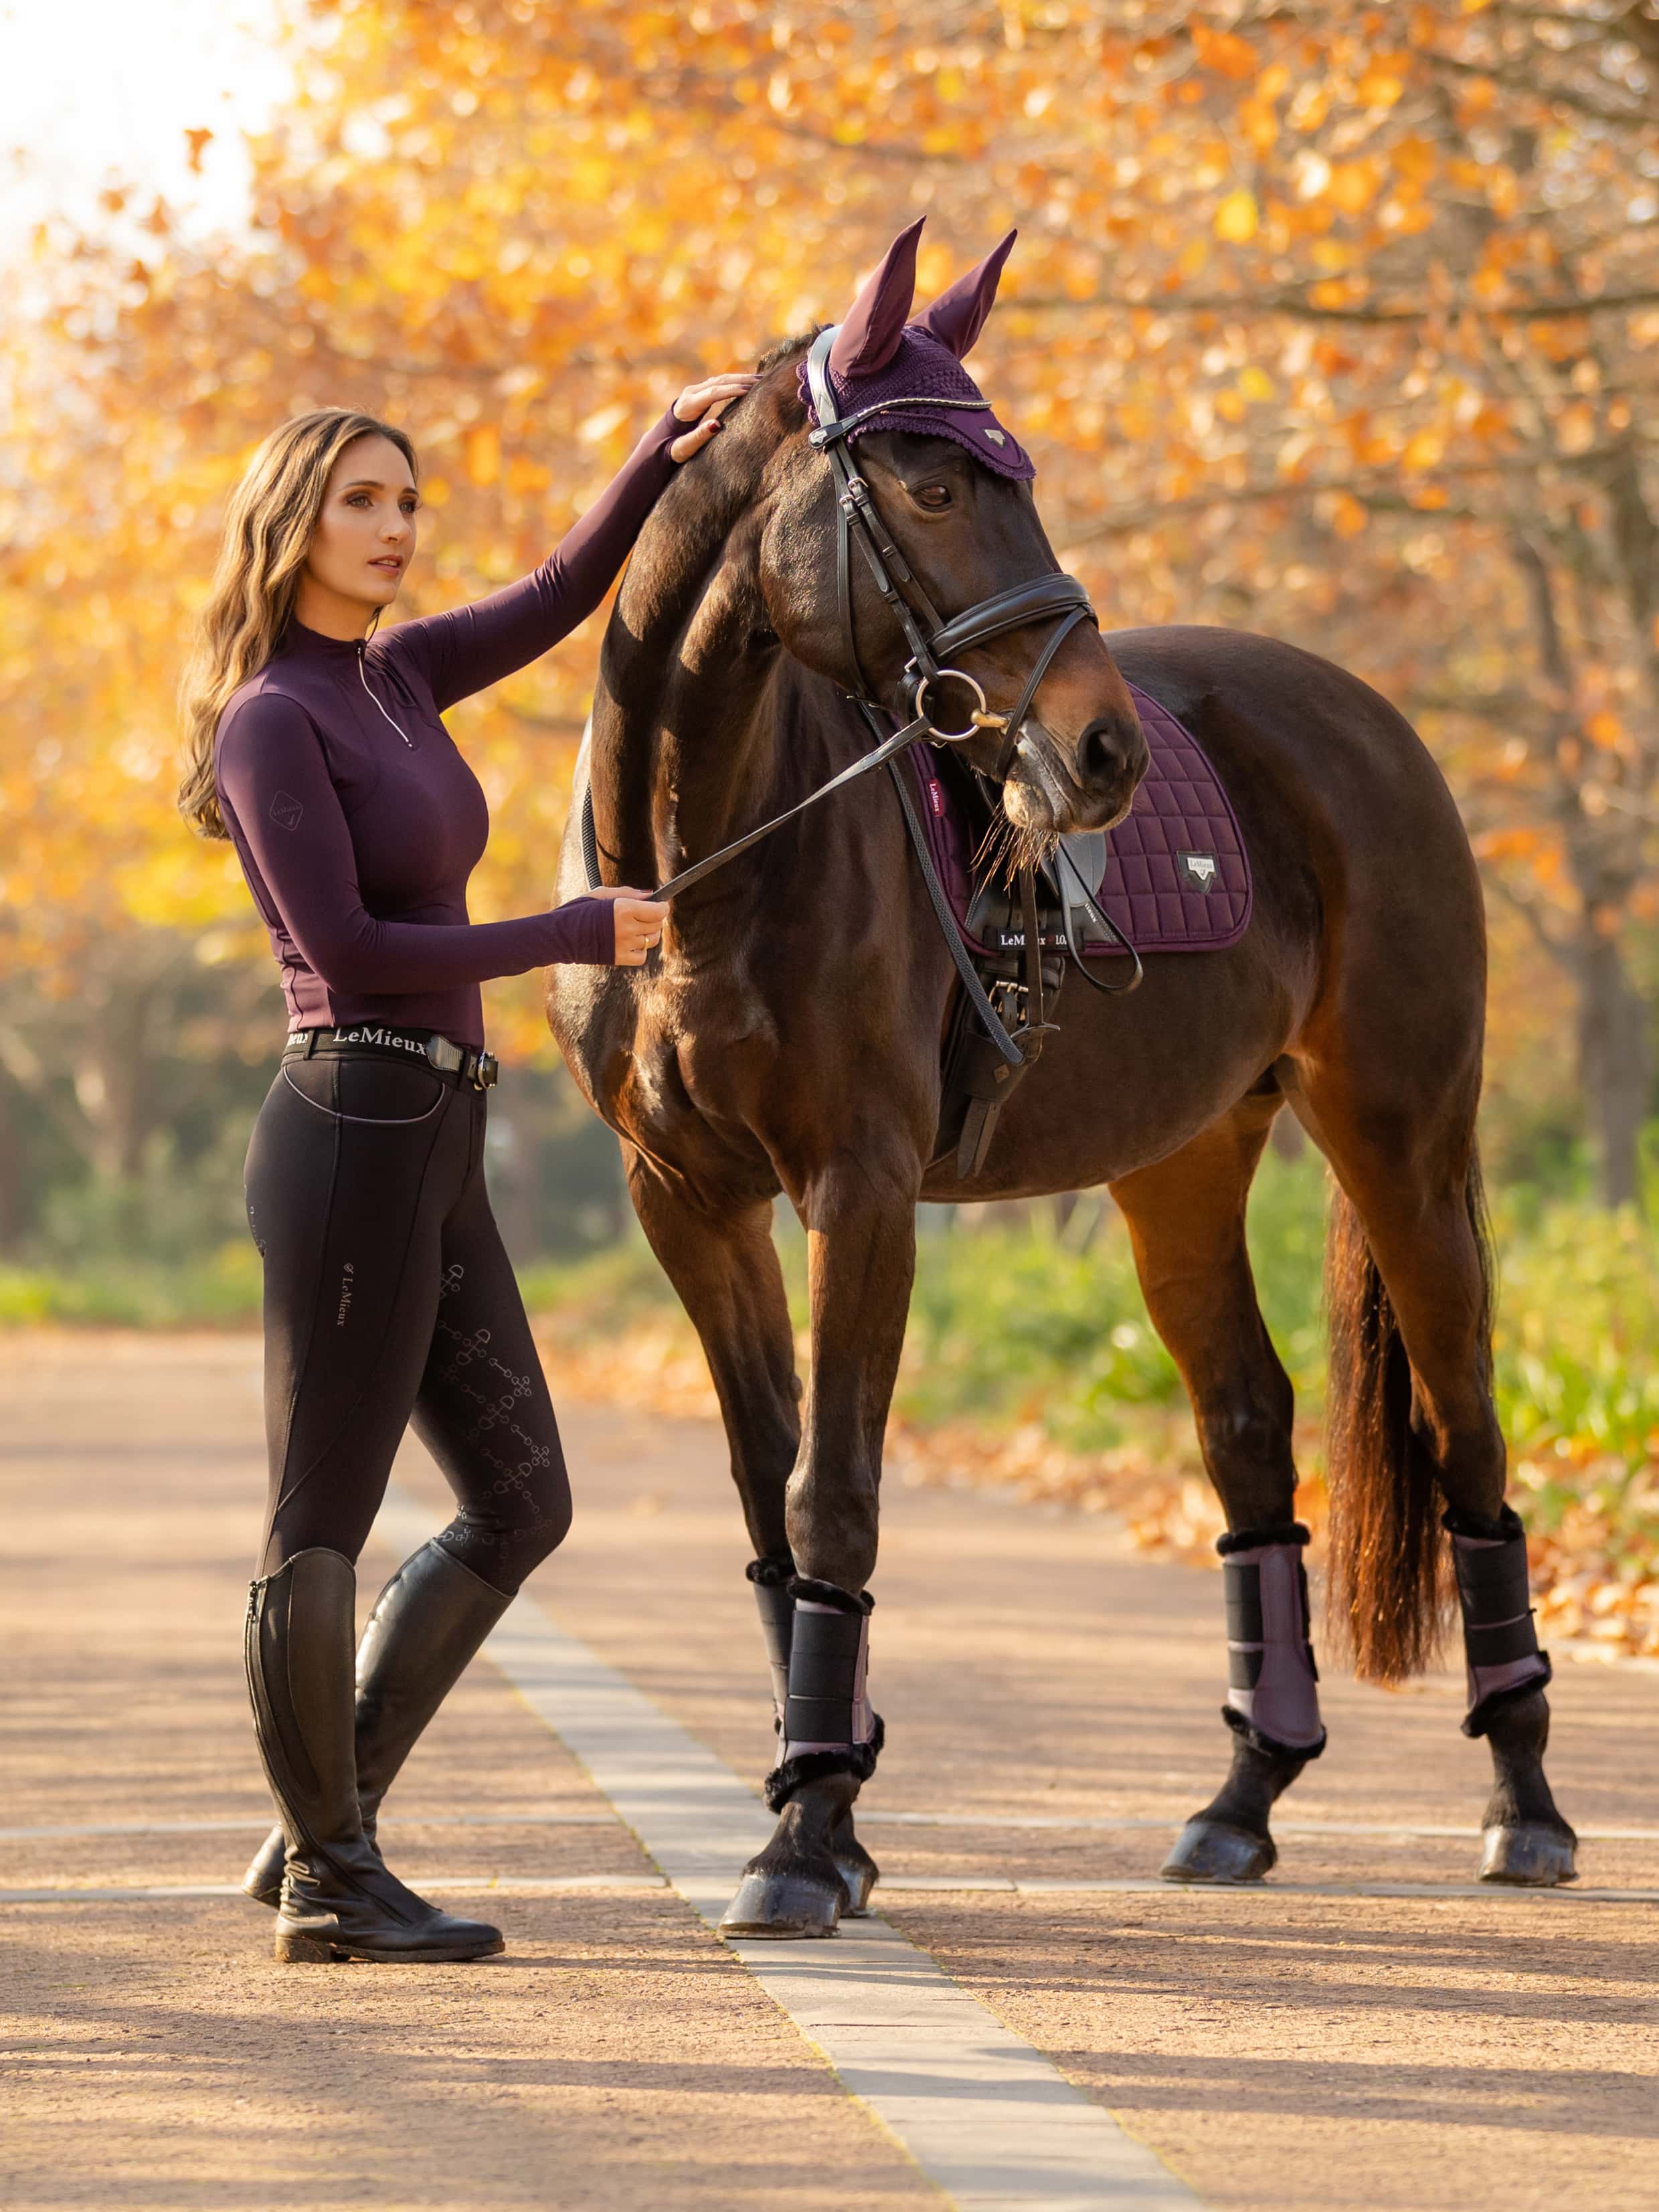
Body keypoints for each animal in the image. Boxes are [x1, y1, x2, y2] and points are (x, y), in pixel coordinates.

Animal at [548, 216, 1583, 1928]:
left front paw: (808, 1835)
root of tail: (1368, 723)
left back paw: (1528, 1806)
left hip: (1401, 1142)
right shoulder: (684, 1200)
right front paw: (825, 1801)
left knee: (1472, 1434)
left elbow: (835, 1491)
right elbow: (772, 1501)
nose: (1099, 752)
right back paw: (1240, 1799)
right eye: (931, 486)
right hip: (1180, 1168)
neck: (701, 866)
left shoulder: (859, 1191)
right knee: (1248, 1426)